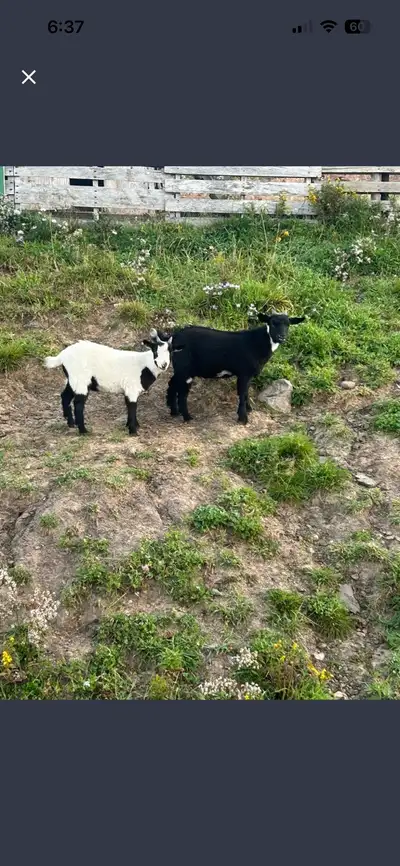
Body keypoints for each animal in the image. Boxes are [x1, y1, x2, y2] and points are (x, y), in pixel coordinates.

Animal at [155, 312, 305, 425]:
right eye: (272, 323)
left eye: (288, 324)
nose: (281, 337)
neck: (258, 343)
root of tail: (173, 337)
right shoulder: (244, 373)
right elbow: (242, 393)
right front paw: (243, 418)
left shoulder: (248, 374)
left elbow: (246, 392)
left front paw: (248, 410)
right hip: (185, 368)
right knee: (181, 392)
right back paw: (186, 417)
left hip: (181, 368)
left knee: (172, 383)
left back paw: (174, 411)